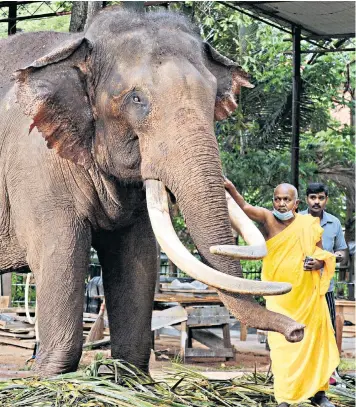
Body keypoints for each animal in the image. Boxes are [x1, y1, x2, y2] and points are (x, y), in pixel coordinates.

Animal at [0, 7, 304, 376]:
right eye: (137, 99)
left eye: (212, 97)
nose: (298, 331)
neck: (81, 44)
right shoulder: (35, 167)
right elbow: (62, 250)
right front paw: (49, 377)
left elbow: (139, 255)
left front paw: (127, 377)